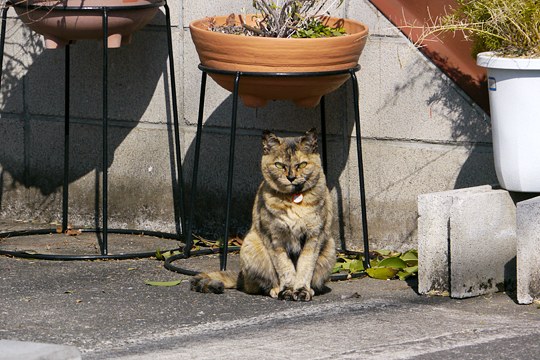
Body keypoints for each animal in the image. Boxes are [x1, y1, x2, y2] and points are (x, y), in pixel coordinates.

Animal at [189, 129, 334, 300]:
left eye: (302, 164)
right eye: (279, 165)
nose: (291, 177)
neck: (293, 201)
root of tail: (241, 277)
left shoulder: (314, 236)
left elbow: (305, 267)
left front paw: (301, 290)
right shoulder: (275, 237)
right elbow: (285, 267)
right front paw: (288, 290)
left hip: (330, 247)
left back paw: (309, 290)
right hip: (251, 243)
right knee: (257, 286)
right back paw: (276, 290)